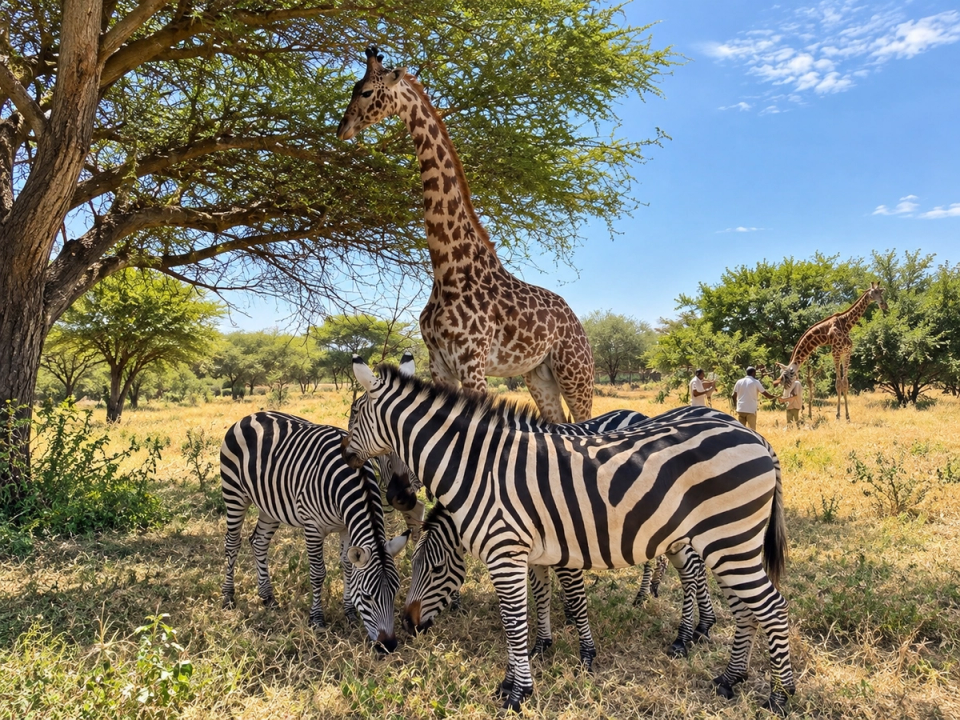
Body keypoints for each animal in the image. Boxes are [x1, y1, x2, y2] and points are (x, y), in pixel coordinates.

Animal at [336, 47, 594, 423]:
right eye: (353, 88)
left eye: (367, 91)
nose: (343, 128)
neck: (448, 268)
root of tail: (577, 321)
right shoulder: (439, 363)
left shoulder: (472, 363)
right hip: (538, 374)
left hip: (576, 372)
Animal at [775, 282, 887, 421]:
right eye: (875, 292)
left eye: (880, 292)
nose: (884, 305)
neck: (845, 324)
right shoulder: (836, 352)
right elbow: (838, 383)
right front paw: (838, 415)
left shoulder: (846, 352)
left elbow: (844, 383)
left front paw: (846, 415)